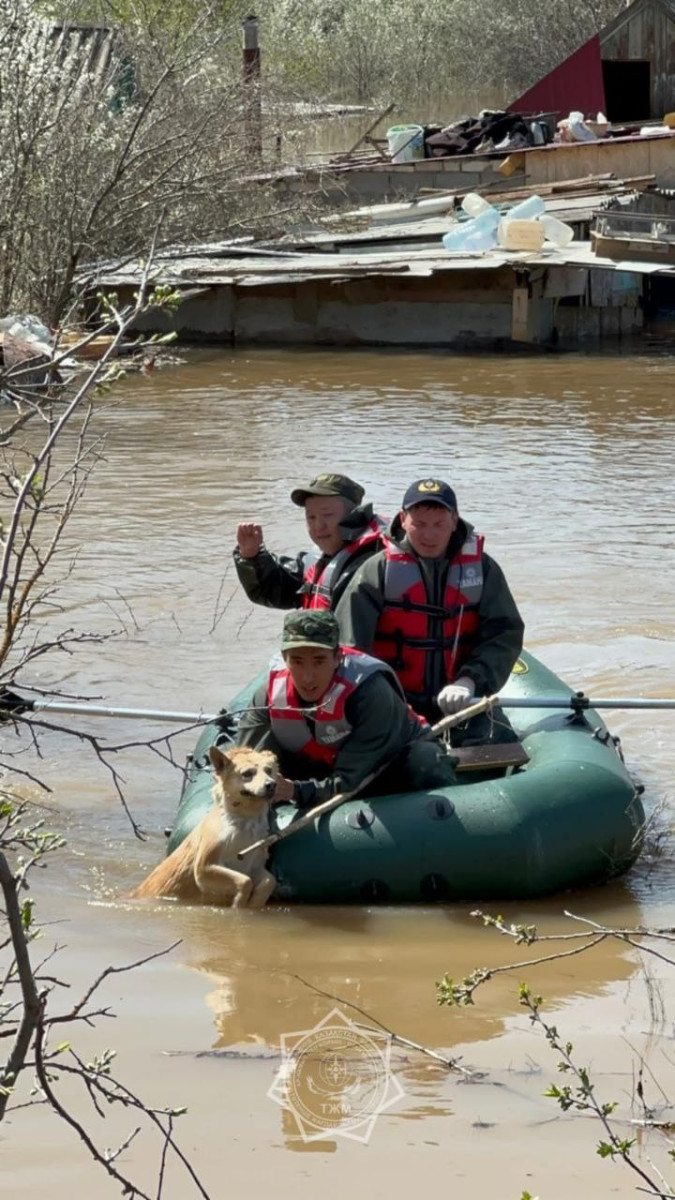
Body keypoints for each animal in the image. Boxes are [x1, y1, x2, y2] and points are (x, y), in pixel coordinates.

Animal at [130, 739, 277, 907]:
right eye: (247, 774)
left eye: (269, 770)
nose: (271, 784)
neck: (245, 819)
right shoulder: (204, 868)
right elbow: (245, 881)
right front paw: (238, 903)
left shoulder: (255, 866)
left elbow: (269, 881)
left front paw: (252, 904)